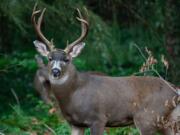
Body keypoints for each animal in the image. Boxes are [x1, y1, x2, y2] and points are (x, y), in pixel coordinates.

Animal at [31, 4, 179, 135]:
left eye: (67, 59)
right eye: (49, 58)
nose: (55, 72)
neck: (74, 94)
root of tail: (175, 90)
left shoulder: (98, 118)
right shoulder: (76, 123)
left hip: (147, 118)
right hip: (169, 120)